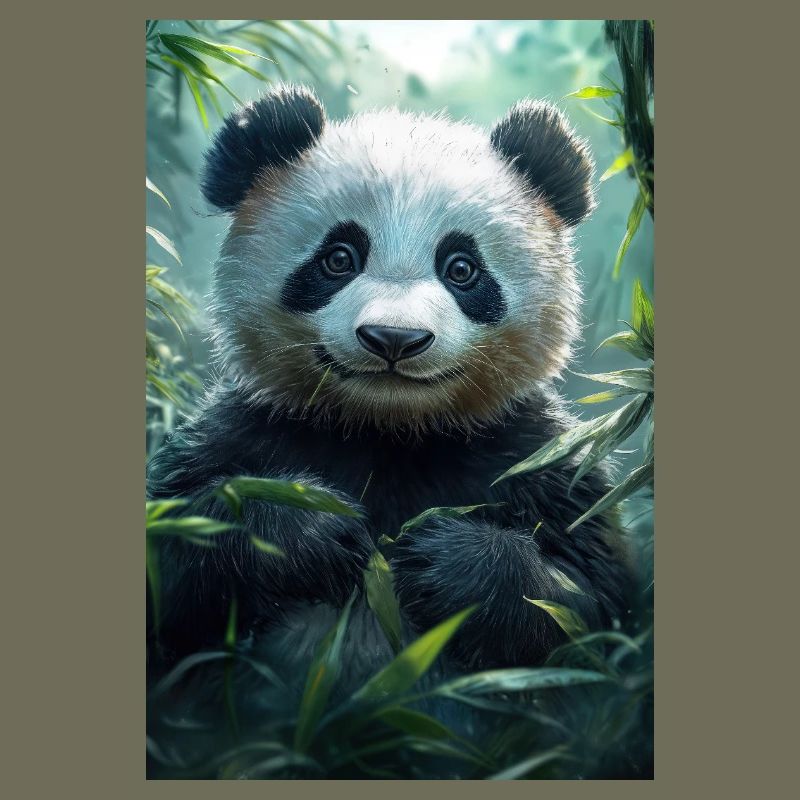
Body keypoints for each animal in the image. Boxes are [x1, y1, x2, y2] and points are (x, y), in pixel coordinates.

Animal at [147, 84, 633, 689]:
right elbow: (172, 555)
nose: (394, 338)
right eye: (338, 258)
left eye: (462, 269)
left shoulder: (535, 456)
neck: (388, 430)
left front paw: (439, 560)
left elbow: (590, 602)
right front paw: (315, 530)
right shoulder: (246, 430)